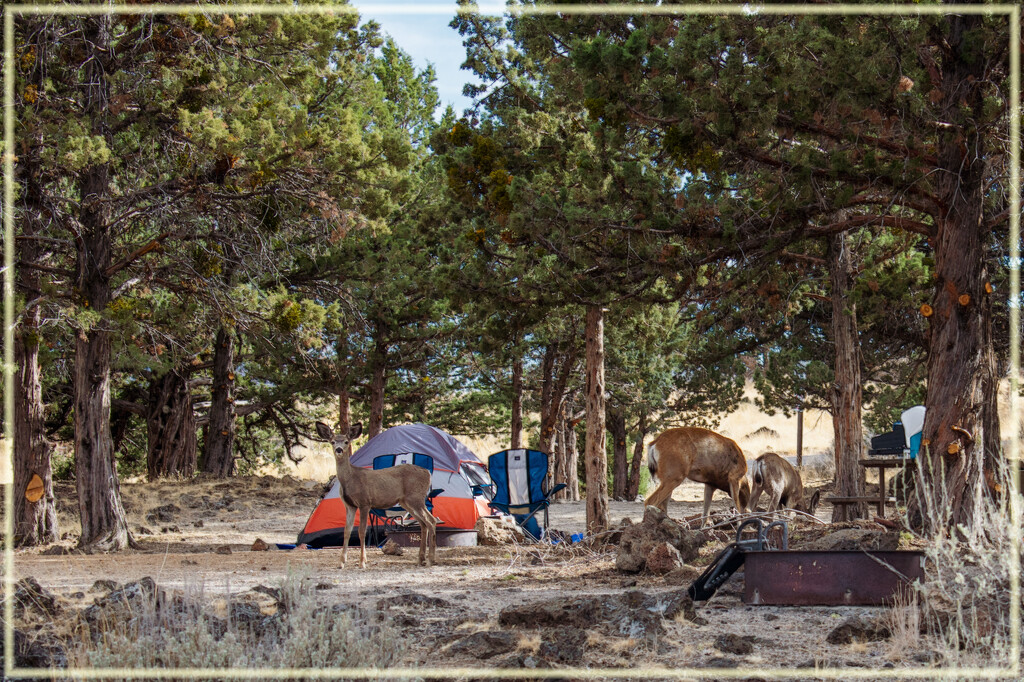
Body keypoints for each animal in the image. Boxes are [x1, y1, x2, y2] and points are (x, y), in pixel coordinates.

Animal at [315, 419, 436, 569]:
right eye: (332, 441)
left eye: (346, 442)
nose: (339, 449)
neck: (350, 479)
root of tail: (428, 473)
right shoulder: (349, 505)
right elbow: (346, 531)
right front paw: (341, 562)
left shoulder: (364, 502)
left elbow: (361, 531)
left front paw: (362, 562)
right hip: (406, 502)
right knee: (423, 523)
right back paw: (421, 559)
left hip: (416, 498)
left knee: (431, 521)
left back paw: (430, 559)